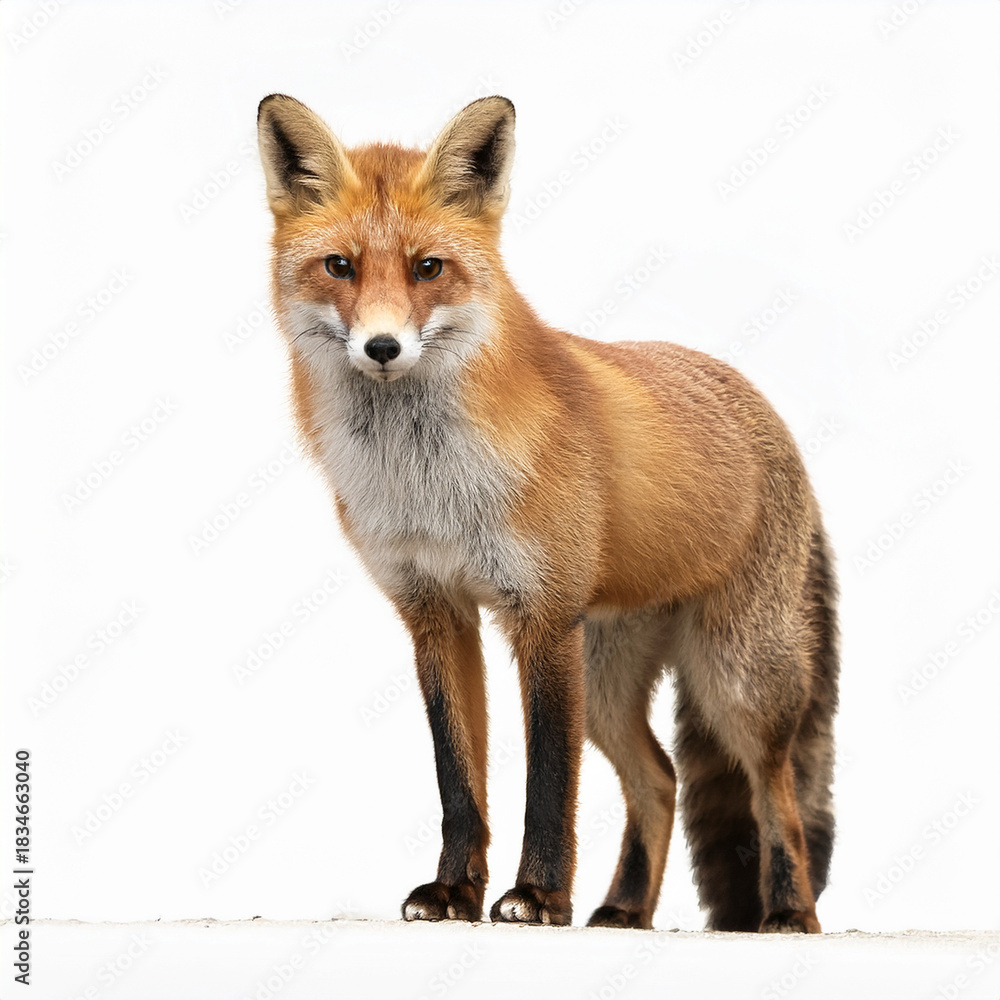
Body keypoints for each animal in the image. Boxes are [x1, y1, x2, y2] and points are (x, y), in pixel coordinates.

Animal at [257, 93, 838, 933]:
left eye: (428, 268)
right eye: (340, 266)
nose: (383, 346)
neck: (429, 484)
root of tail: (762, 404)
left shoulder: (543, 615)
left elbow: (548, 784)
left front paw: (536, 897)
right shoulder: (435, 612)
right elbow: (459, 783)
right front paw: (455, 895)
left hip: (736, 678)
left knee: (776, 790)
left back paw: (789, 914)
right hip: (609, 684)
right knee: (659, 778)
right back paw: (625, 908)